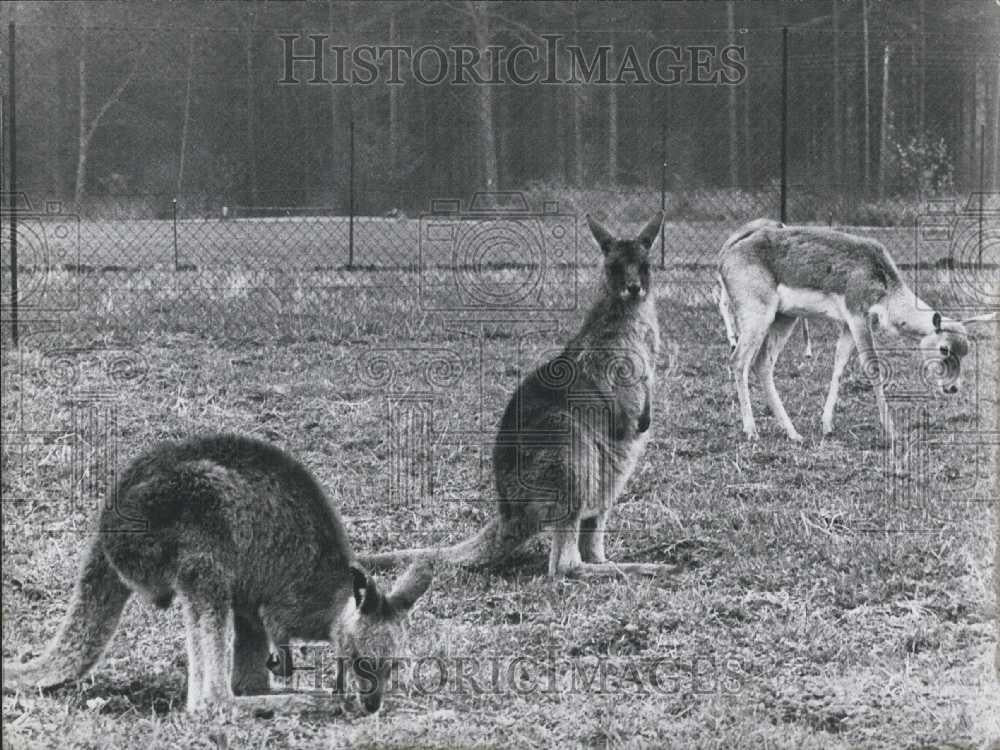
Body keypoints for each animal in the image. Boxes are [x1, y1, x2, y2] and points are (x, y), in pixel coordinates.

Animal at [3, 434, 434, 716]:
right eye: (363, 663)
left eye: (394, 667)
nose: (373, 707)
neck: (332, 603)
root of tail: (106, 519)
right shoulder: (284, 605)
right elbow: (277, 629)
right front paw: (295, 669)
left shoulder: (257, 600)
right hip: (198, 520)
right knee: (208, 702)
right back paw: (298, 700)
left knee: (238, 675)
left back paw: (272, 695)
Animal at [720, 217, 992, 440]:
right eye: (944, 348)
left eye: (966, 350)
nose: (952, 387)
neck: (883, 281)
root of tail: (725, 257)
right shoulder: (858, 317)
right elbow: (873, 368)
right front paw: (891, 430)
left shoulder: (849, 325)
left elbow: (839, 366)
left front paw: (827, 426)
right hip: (758, 316)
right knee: (738, 360)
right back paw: (751, 431)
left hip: (784, 318)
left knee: (762, 363)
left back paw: (794, 434)